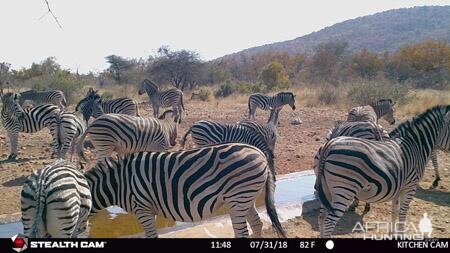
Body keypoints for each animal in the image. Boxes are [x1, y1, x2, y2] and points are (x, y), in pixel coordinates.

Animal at [84, 143, 284, 238]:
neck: (119, 183)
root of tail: (260, 153)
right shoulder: (147, 210)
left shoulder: (142, 208)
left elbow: (152, 236)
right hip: (245, 198)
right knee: (256, 224)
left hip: (238, 197)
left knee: (242, 232)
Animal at [314, 104, 450, 237]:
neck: (415, 146)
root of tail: (329, 145)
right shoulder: (410, 186)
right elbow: (403, 212)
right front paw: (400, 235)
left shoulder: (399, 186)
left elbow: (395, 210)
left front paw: (392, 233)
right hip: (345, 190)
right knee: (329, 222)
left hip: (328, 189)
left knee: (321, 217)